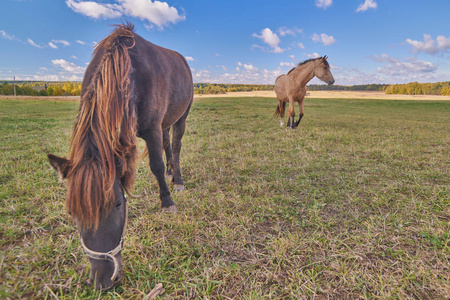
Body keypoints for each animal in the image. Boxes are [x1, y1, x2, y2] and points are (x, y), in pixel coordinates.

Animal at [46, 23, 192, 290]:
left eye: (117, 204)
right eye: (71, 213)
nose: (101, 281)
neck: (126, 72)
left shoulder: (152, 129)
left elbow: (156, 165)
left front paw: (167, 201)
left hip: (181, 116)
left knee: (175, 145)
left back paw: (176, 178)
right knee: (168, 143)